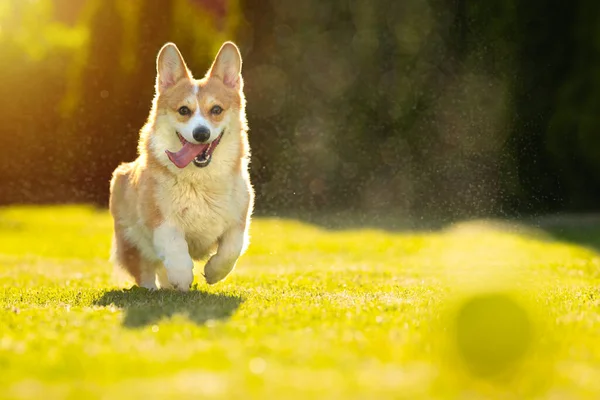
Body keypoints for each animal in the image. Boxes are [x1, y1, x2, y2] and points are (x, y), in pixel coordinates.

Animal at [109, 41, 252, 290]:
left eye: (216, 109)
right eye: (184, 110)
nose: (201, 133)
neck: (200, 181)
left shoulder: (239, 220)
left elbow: (231, 248)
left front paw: (213, 272)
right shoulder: (161, 219)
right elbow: (175, 246)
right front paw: (182, 276)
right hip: (130, 240)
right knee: (145, 270)